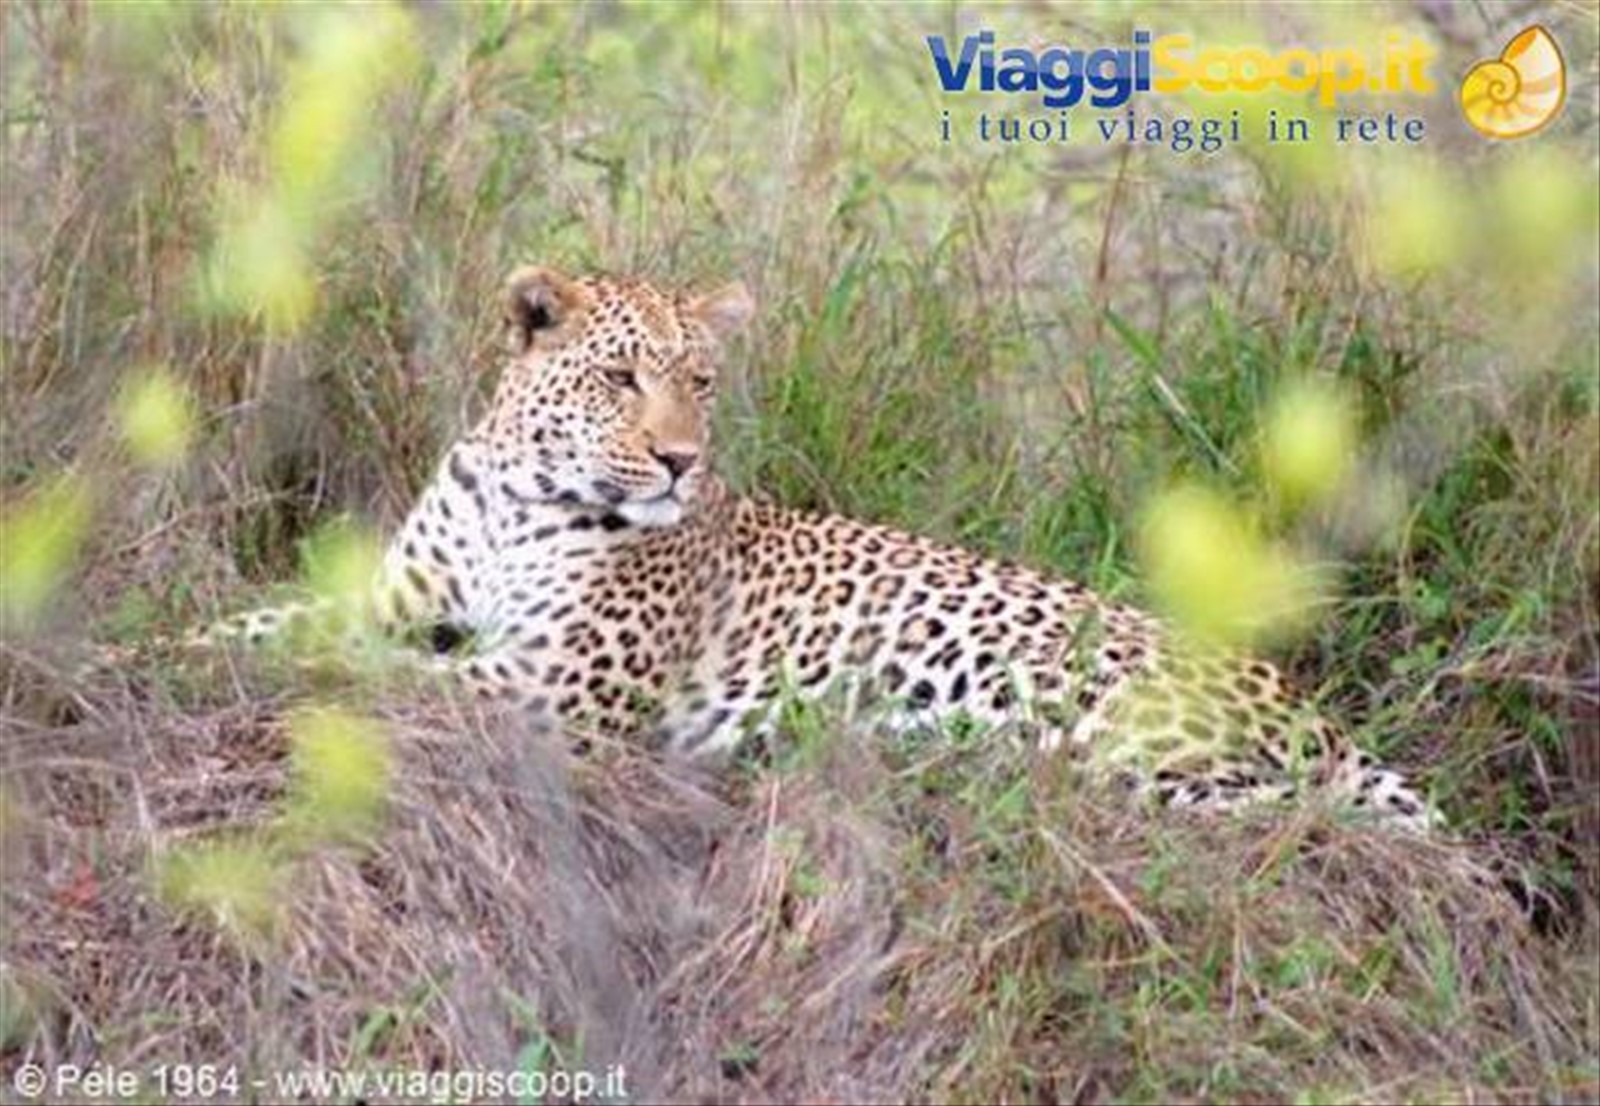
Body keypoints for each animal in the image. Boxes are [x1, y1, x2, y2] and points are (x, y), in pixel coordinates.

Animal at [199, 265, 1435, 830]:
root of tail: (1320, 715)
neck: (523, 490)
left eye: (701, 381)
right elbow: (268, 620)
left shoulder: (555, 682)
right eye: (622, 377)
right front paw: (174, 636)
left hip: (1075, 686)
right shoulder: (409, 592)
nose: (679, 461)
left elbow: (381, 670)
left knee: (1219, 798)